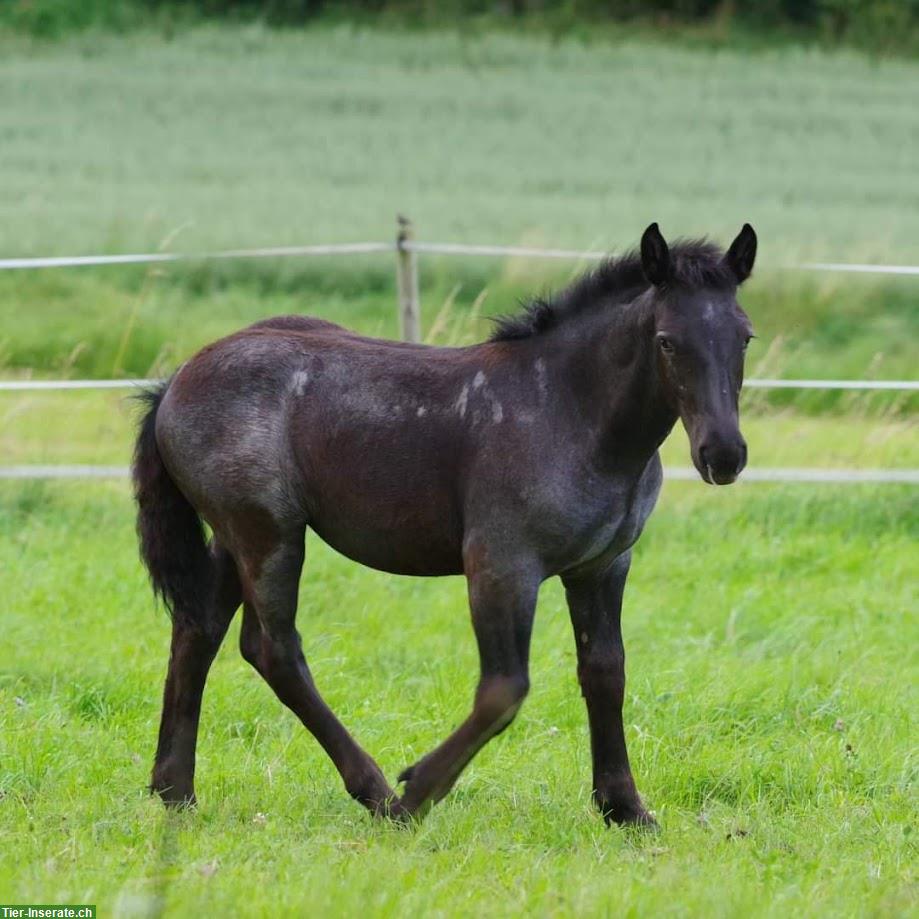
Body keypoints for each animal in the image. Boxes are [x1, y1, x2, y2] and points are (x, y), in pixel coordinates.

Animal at [133, 223, 760, 828]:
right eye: (666, 341)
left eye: (745, 337)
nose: (723, 454)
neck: (572, 411)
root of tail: (176, 381)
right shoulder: (503, 564)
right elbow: (505, 689)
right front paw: (418, 792)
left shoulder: (602, 566)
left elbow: (606, 673)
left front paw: (625, 808)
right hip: (269, 534)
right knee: (273, 649)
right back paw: (377, 793)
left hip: (234, 538)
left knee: (198, 630)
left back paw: (175, 791)